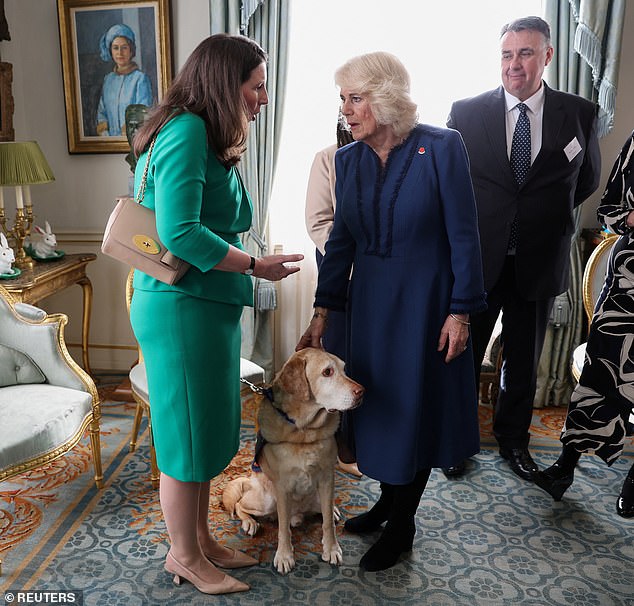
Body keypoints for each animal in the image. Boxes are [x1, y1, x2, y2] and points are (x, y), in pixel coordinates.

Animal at [222, 346, 362, 576]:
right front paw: (284, 556)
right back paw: (250, 523)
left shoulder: (327, 478)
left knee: (322, 511)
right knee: (242, 505)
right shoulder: (282, 487)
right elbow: (283, 529)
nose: (362, 391)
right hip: (266, 500)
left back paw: (330, 511)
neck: (305, 432)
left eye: (344, 369)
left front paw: (331, 548)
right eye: (327, 372)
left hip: (317, 495)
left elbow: (327, 524)